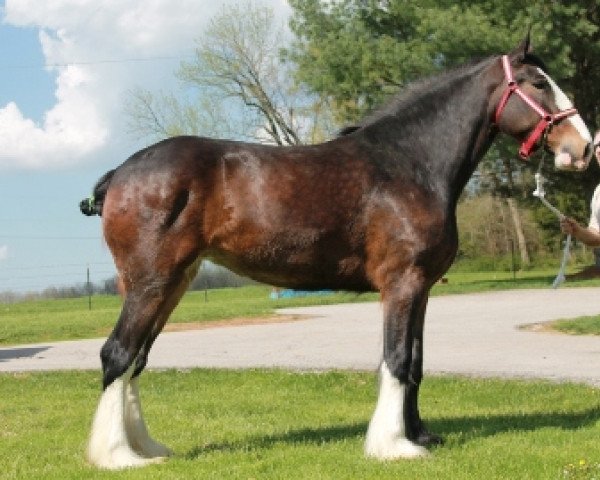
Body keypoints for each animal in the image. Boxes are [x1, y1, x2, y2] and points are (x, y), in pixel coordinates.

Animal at [78, 37, 592, 468]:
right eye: (539, 83)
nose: (584, 147)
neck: (410, 163)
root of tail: (121, 173)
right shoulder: (401, 283)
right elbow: (396, 359)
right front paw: (393, 446)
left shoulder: (422, 288)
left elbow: (416, 362)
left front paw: (420, 436)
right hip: (152, 282)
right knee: (118, 354)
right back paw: (118, 456)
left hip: (172, 283)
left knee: (137, 359)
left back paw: (146, 448)